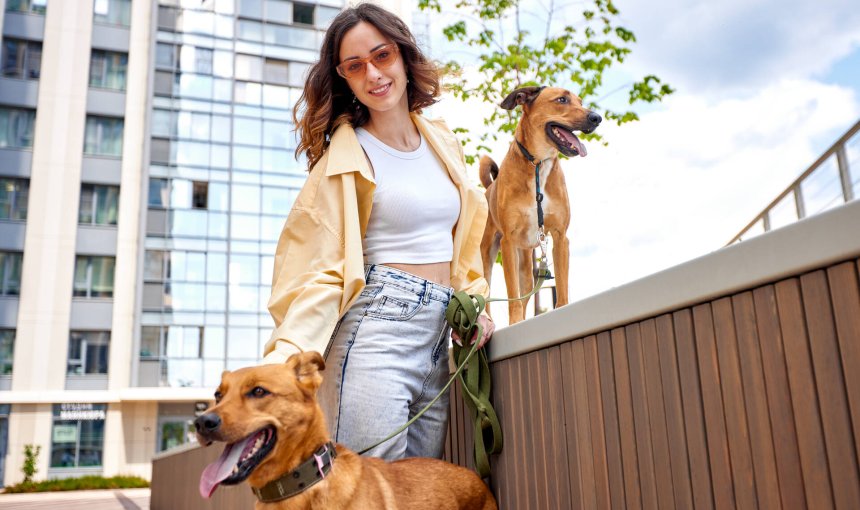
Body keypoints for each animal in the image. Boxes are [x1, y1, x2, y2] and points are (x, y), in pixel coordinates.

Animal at [480, 85, 600, 320]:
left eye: (581, 102)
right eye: (562, 100)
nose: (597, 118)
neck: (538, 163)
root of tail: (490, 188)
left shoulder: (560, 237)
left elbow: (561, 287)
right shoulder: (508, 242)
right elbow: (512, 297)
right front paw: (515, 321)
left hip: (526, 267)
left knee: (526, 293)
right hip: (489, 252)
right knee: (488, 294)